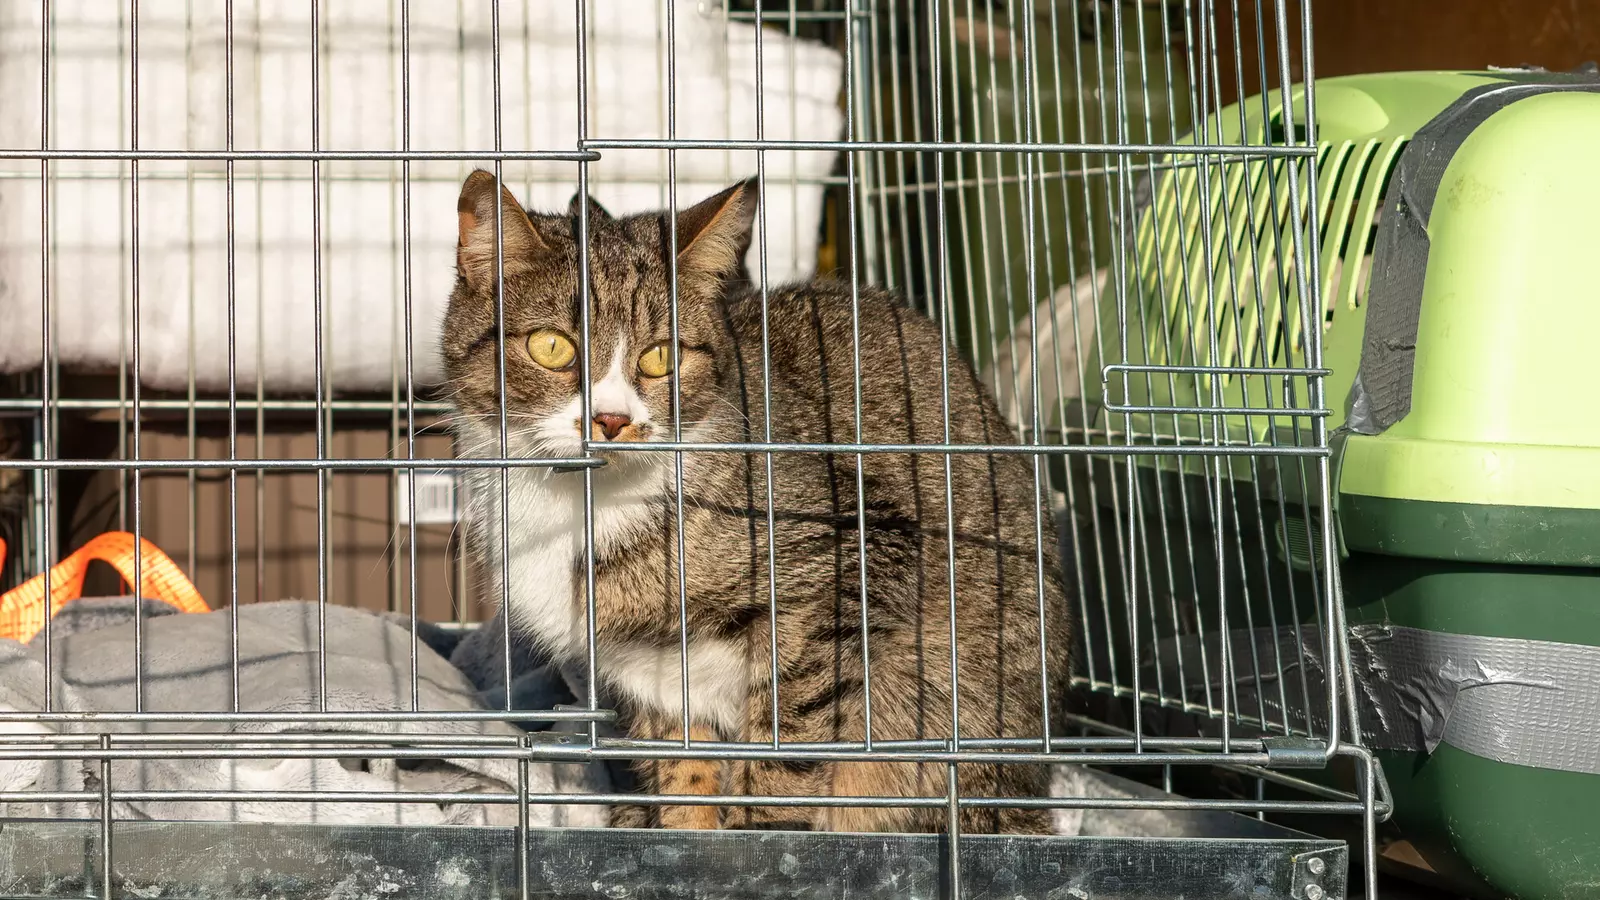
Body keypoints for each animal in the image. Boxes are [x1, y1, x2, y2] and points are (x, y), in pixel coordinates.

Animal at [444, 169, 1068, 832]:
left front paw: (763, 832)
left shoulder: (854, 557)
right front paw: (685, 832)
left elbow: (785, 738)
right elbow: (682, 768)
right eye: (552, 347)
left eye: (660, 356)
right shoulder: (647, 671)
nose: (611, 420)